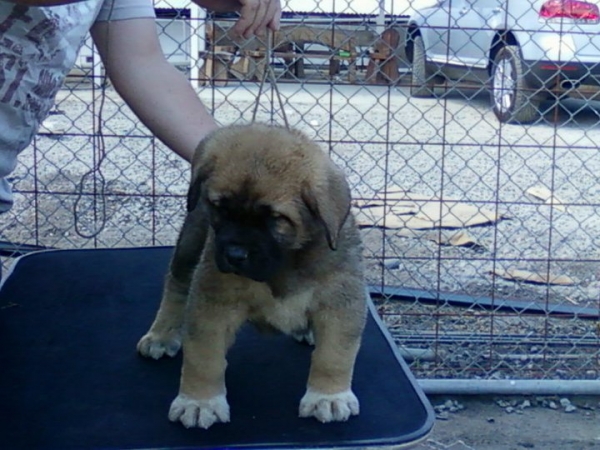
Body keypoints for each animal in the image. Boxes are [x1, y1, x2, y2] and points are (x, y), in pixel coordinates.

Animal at [138, 122, 368, 428]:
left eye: (274, 218)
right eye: (220, 208)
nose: (234, 255)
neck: (285, 263)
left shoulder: (340, 302)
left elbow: (334, 355)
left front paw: (328, 396)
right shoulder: (213, 303)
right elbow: (204, 358)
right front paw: (199, 401)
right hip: (189, 247)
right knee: (175, 287)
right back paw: (161, 335)